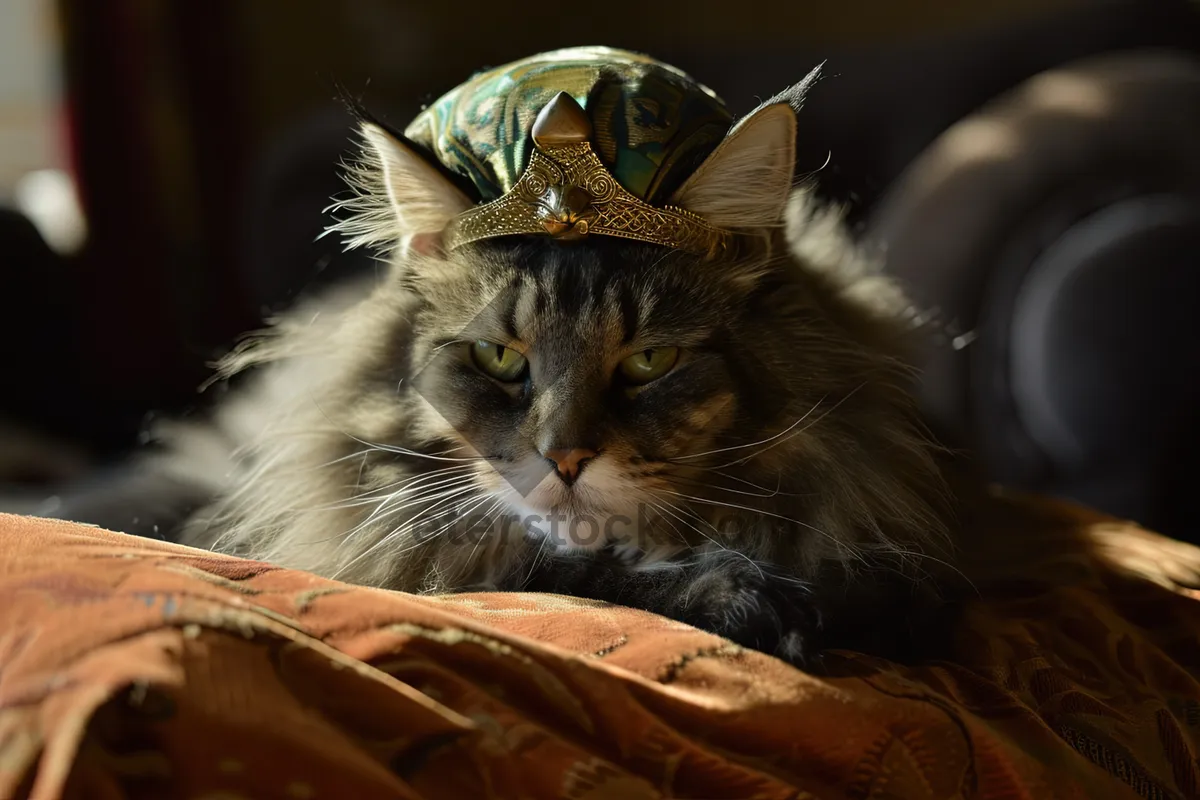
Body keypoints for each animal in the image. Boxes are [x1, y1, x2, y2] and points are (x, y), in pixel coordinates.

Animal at [56, 50, 960, 671]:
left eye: (650, 360)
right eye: (498, 355)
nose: (563, 458)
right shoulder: (421, 546)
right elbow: (565, 568)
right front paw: (744, 599)